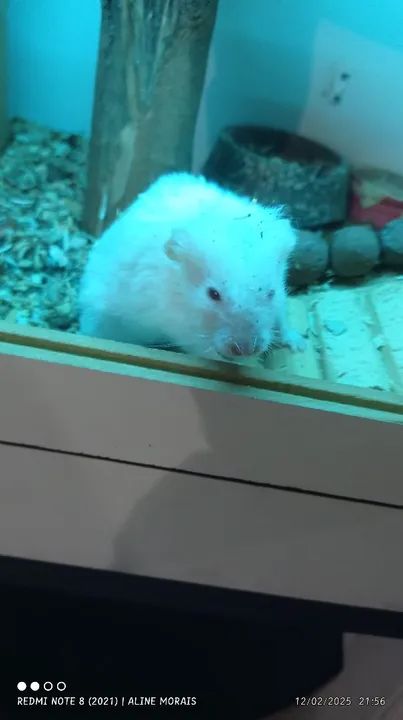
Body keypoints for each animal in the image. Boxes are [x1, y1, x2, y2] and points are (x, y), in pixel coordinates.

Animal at [78, 172, 306, 361]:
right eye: (213, 294)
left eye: (271, 293)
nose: (247, 350)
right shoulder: (180, 328)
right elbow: (206, 352)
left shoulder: (281, 296)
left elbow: (283, 319)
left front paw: (299, 345)